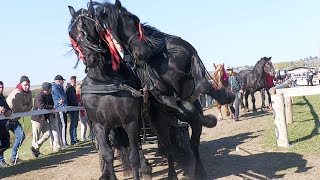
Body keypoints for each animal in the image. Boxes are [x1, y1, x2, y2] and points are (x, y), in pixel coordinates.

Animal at [68, 4, 151, 179]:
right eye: (71, 33)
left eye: (93, 26)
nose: (91, 57)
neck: (104, 81)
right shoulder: (99, 125)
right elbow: (107, 154)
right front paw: (108, 173)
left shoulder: (130, 121)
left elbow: (134, 154)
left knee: (138, 144)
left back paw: (145, 167)